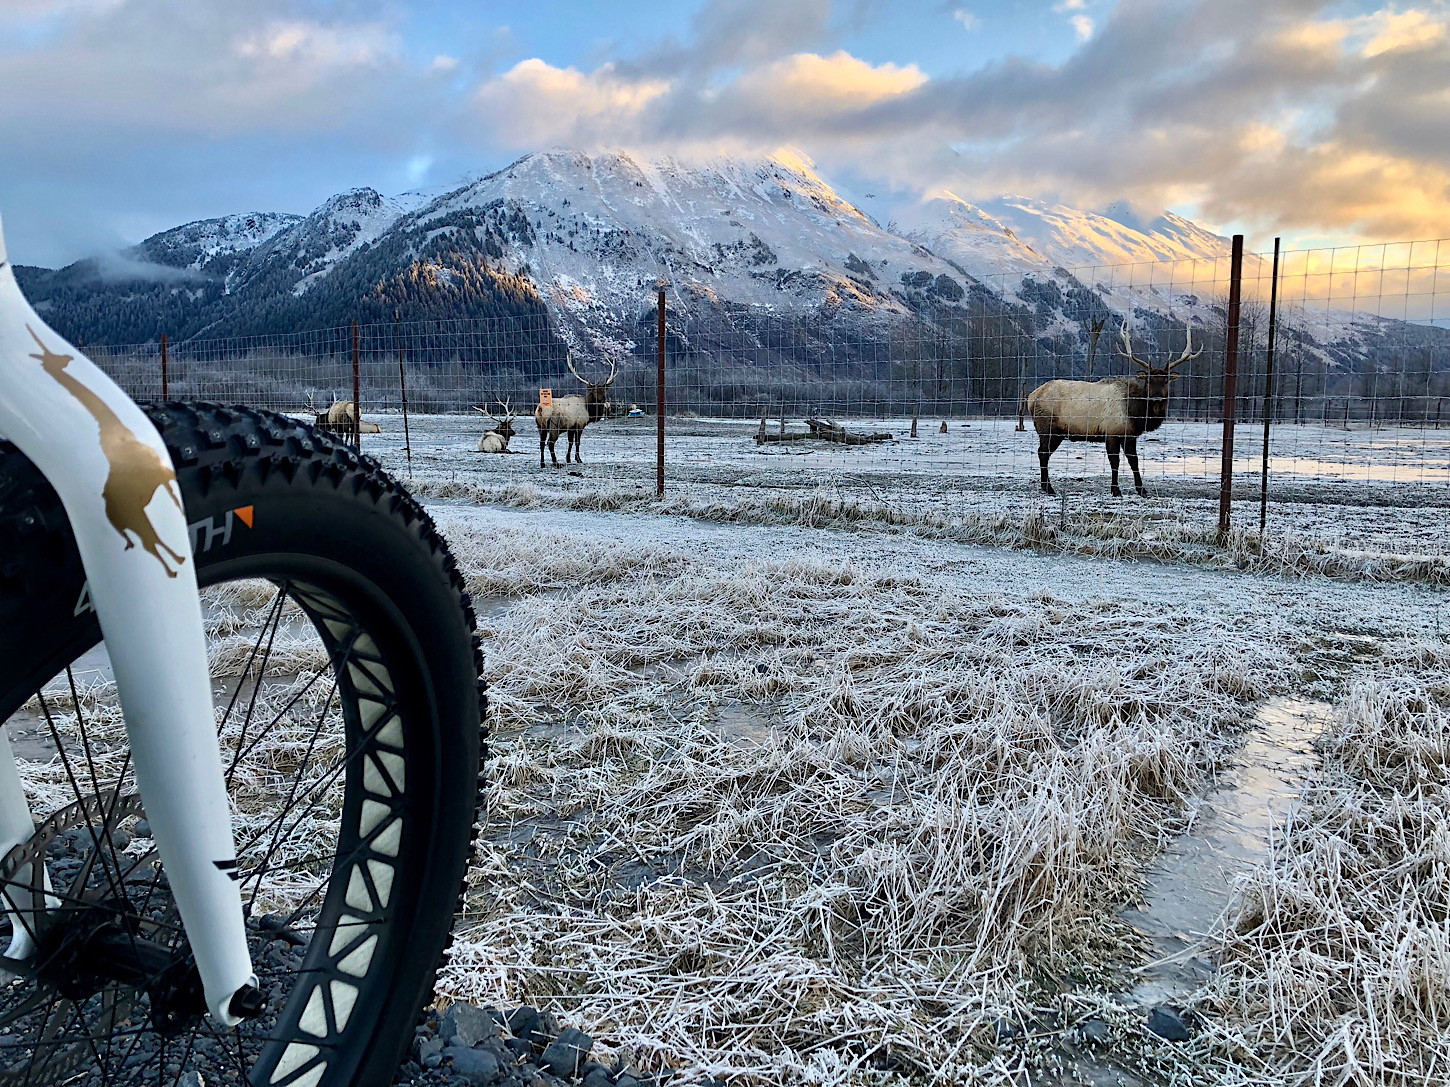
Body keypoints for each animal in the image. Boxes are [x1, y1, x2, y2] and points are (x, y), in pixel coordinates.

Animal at [1020, 321, 1200, 495]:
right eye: (1149, 380)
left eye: (1165, 380)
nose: (1156, 397)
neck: (1135, 414)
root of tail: (1031, 397)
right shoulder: (1112, 432)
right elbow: (1115, 462)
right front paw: (1115, 490)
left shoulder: (1130, 436)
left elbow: (1134, 461)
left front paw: (1142, 489)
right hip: (1047, 428)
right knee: (1043, 453)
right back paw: (1049, 488)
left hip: (1056, 433)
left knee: (1044, 453)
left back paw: (1046, 487)